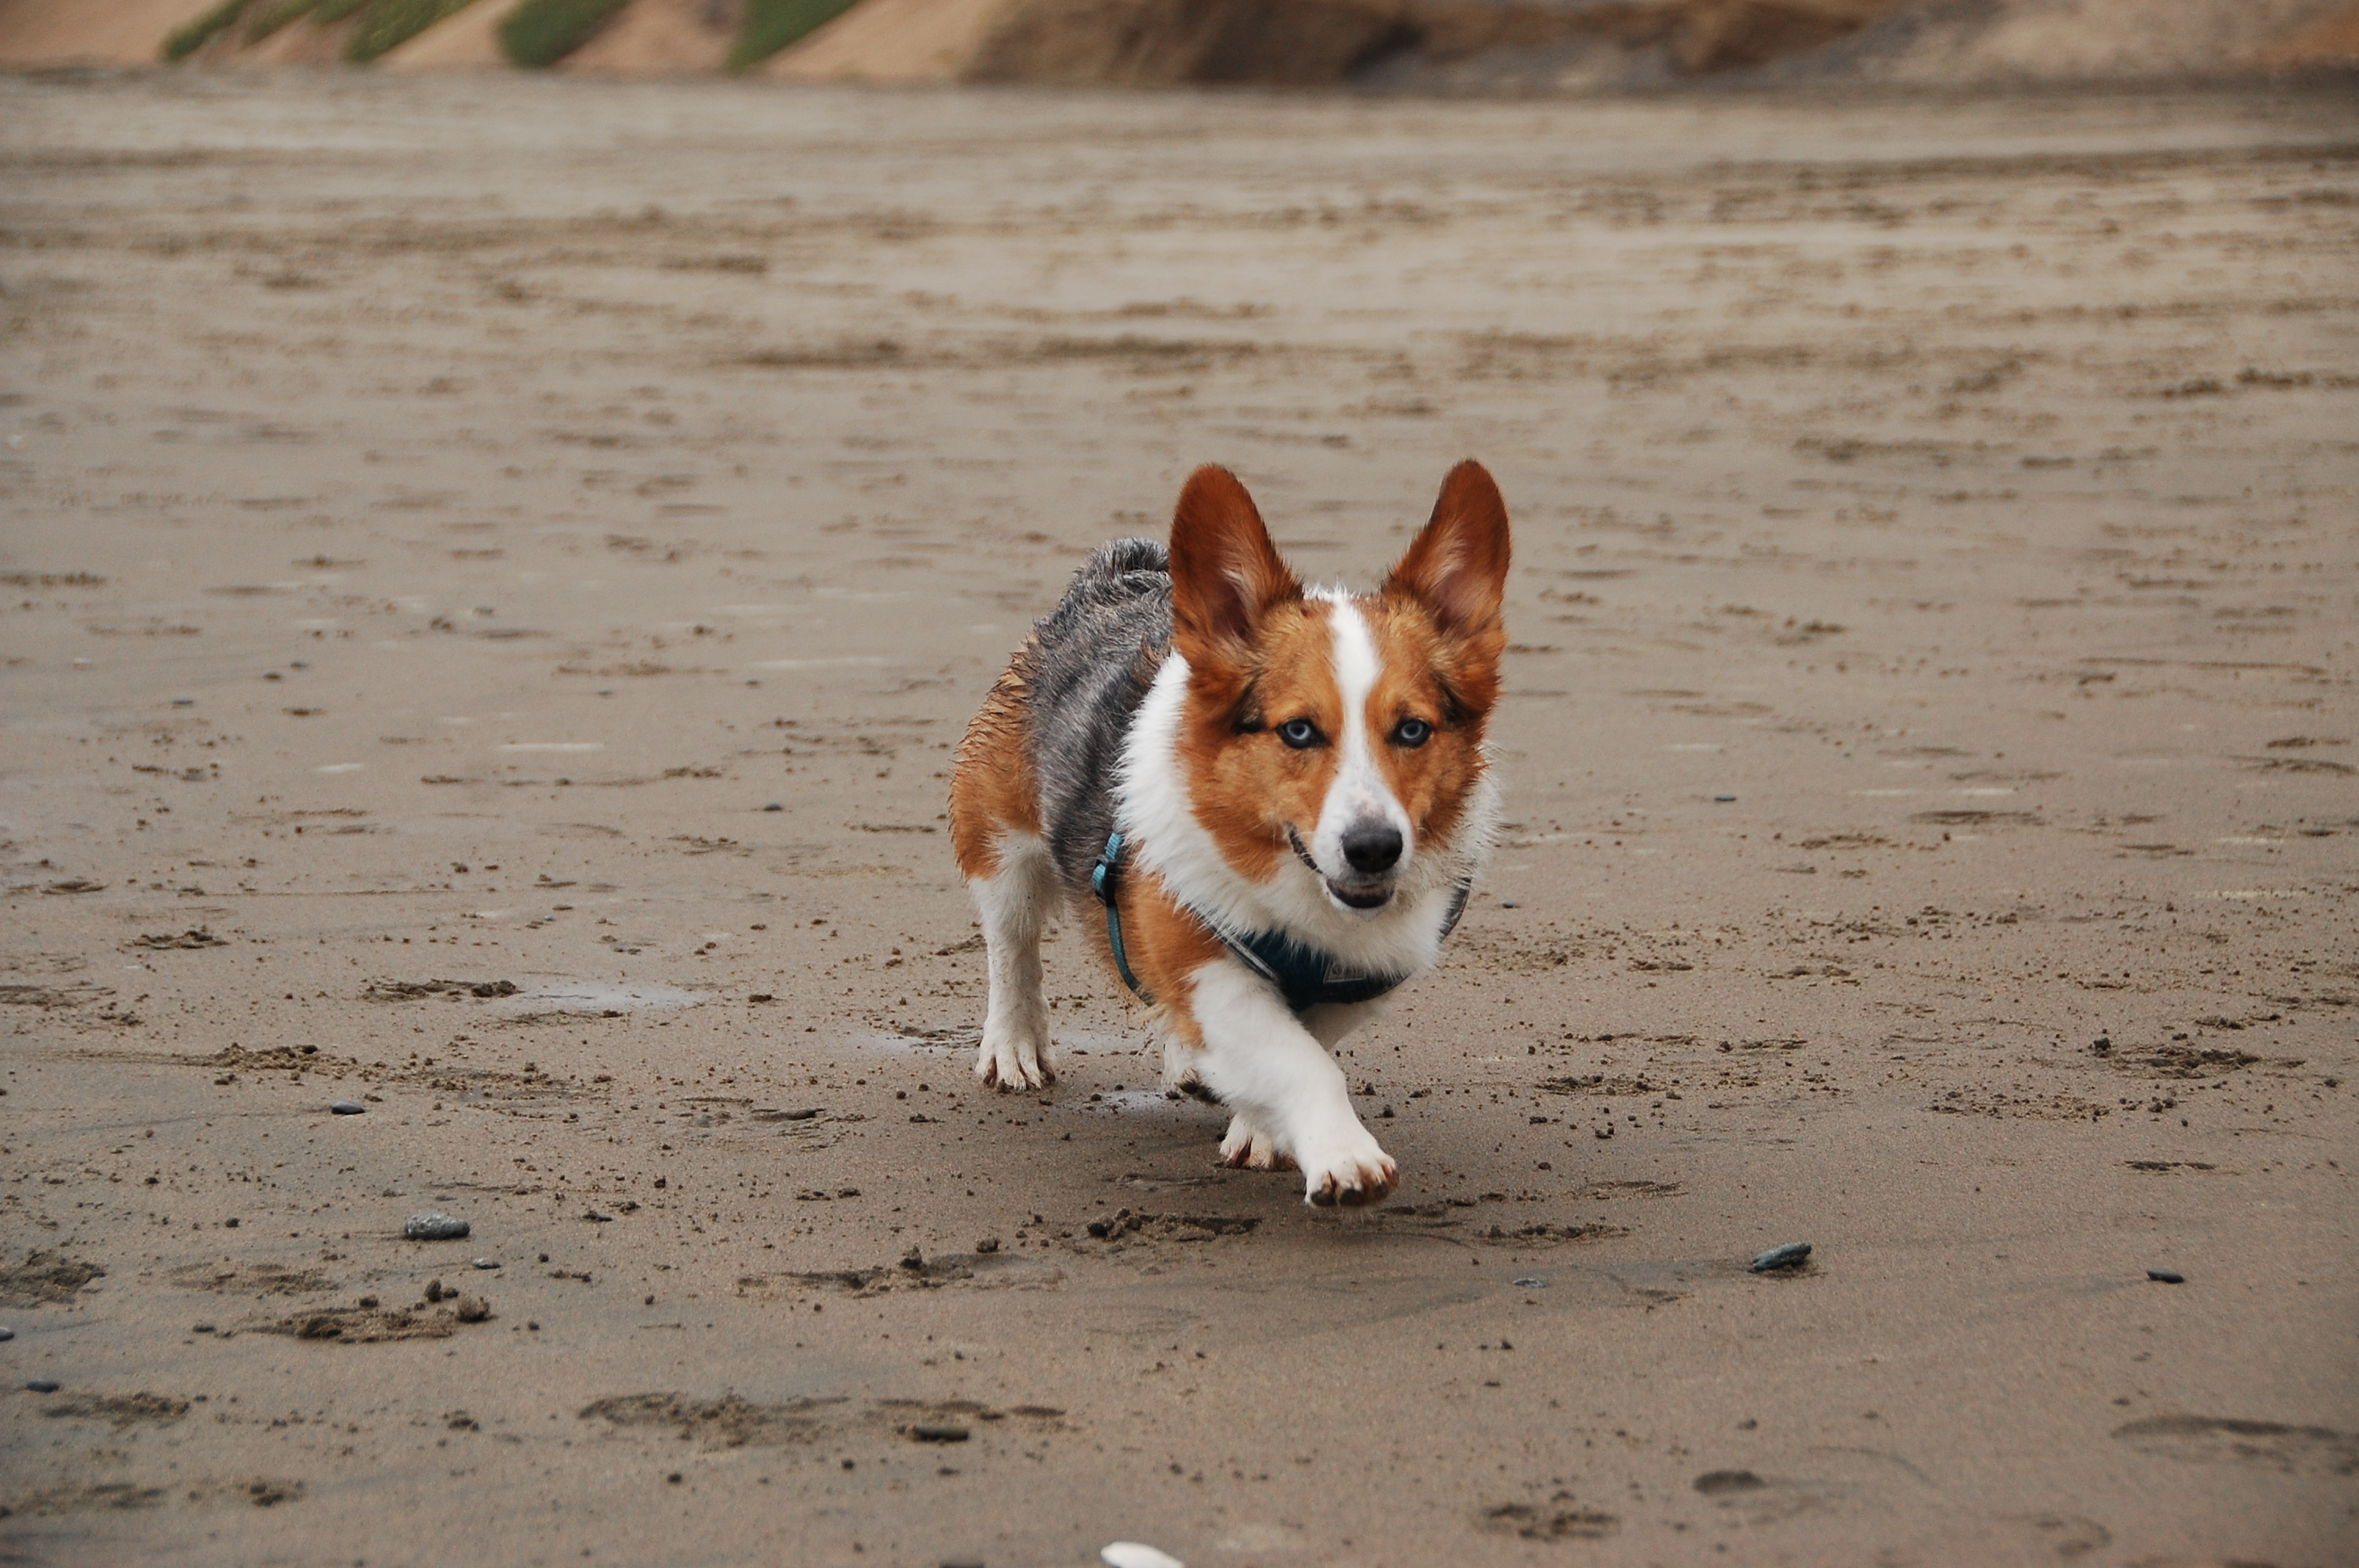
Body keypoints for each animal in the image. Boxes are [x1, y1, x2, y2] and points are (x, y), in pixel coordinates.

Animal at [948, 461, 1509, 1205]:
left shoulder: (1358, 980)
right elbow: (1296, 1059)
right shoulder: (1195, 951)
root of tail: (1120, 569)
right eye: (1297, 730)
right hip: (1000, 839)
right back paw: (1014, 1049)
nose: (1374, 849)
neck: (1303, 897)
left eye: (1413, 730)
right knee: (1011, 946)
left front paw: (1261, 1130)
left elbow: (1298, 1044)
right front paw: (1345, 1156)